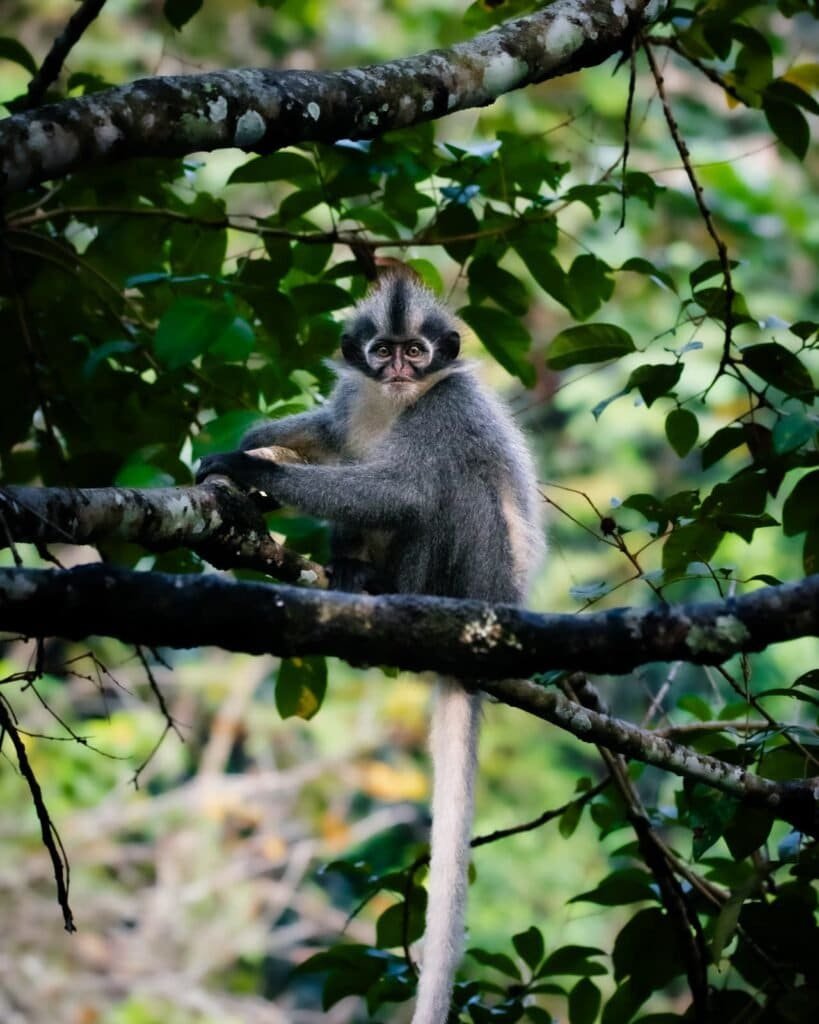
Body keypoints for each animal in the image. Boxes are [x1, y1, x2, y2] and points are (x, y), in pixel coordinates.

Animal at [197, 271, 544, 1023]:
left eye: (417, 351)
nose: (399, 370)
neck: (398, 402)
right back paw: (352, 572)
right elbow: (331, 436)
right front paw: (256, 443)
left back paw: (388, 593)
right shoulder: (355, 401)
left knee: (441, 492)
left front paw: (247, 468)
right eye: (383, 350)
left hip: (470, 576)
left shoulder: (449, 408)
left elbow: (403, 492)